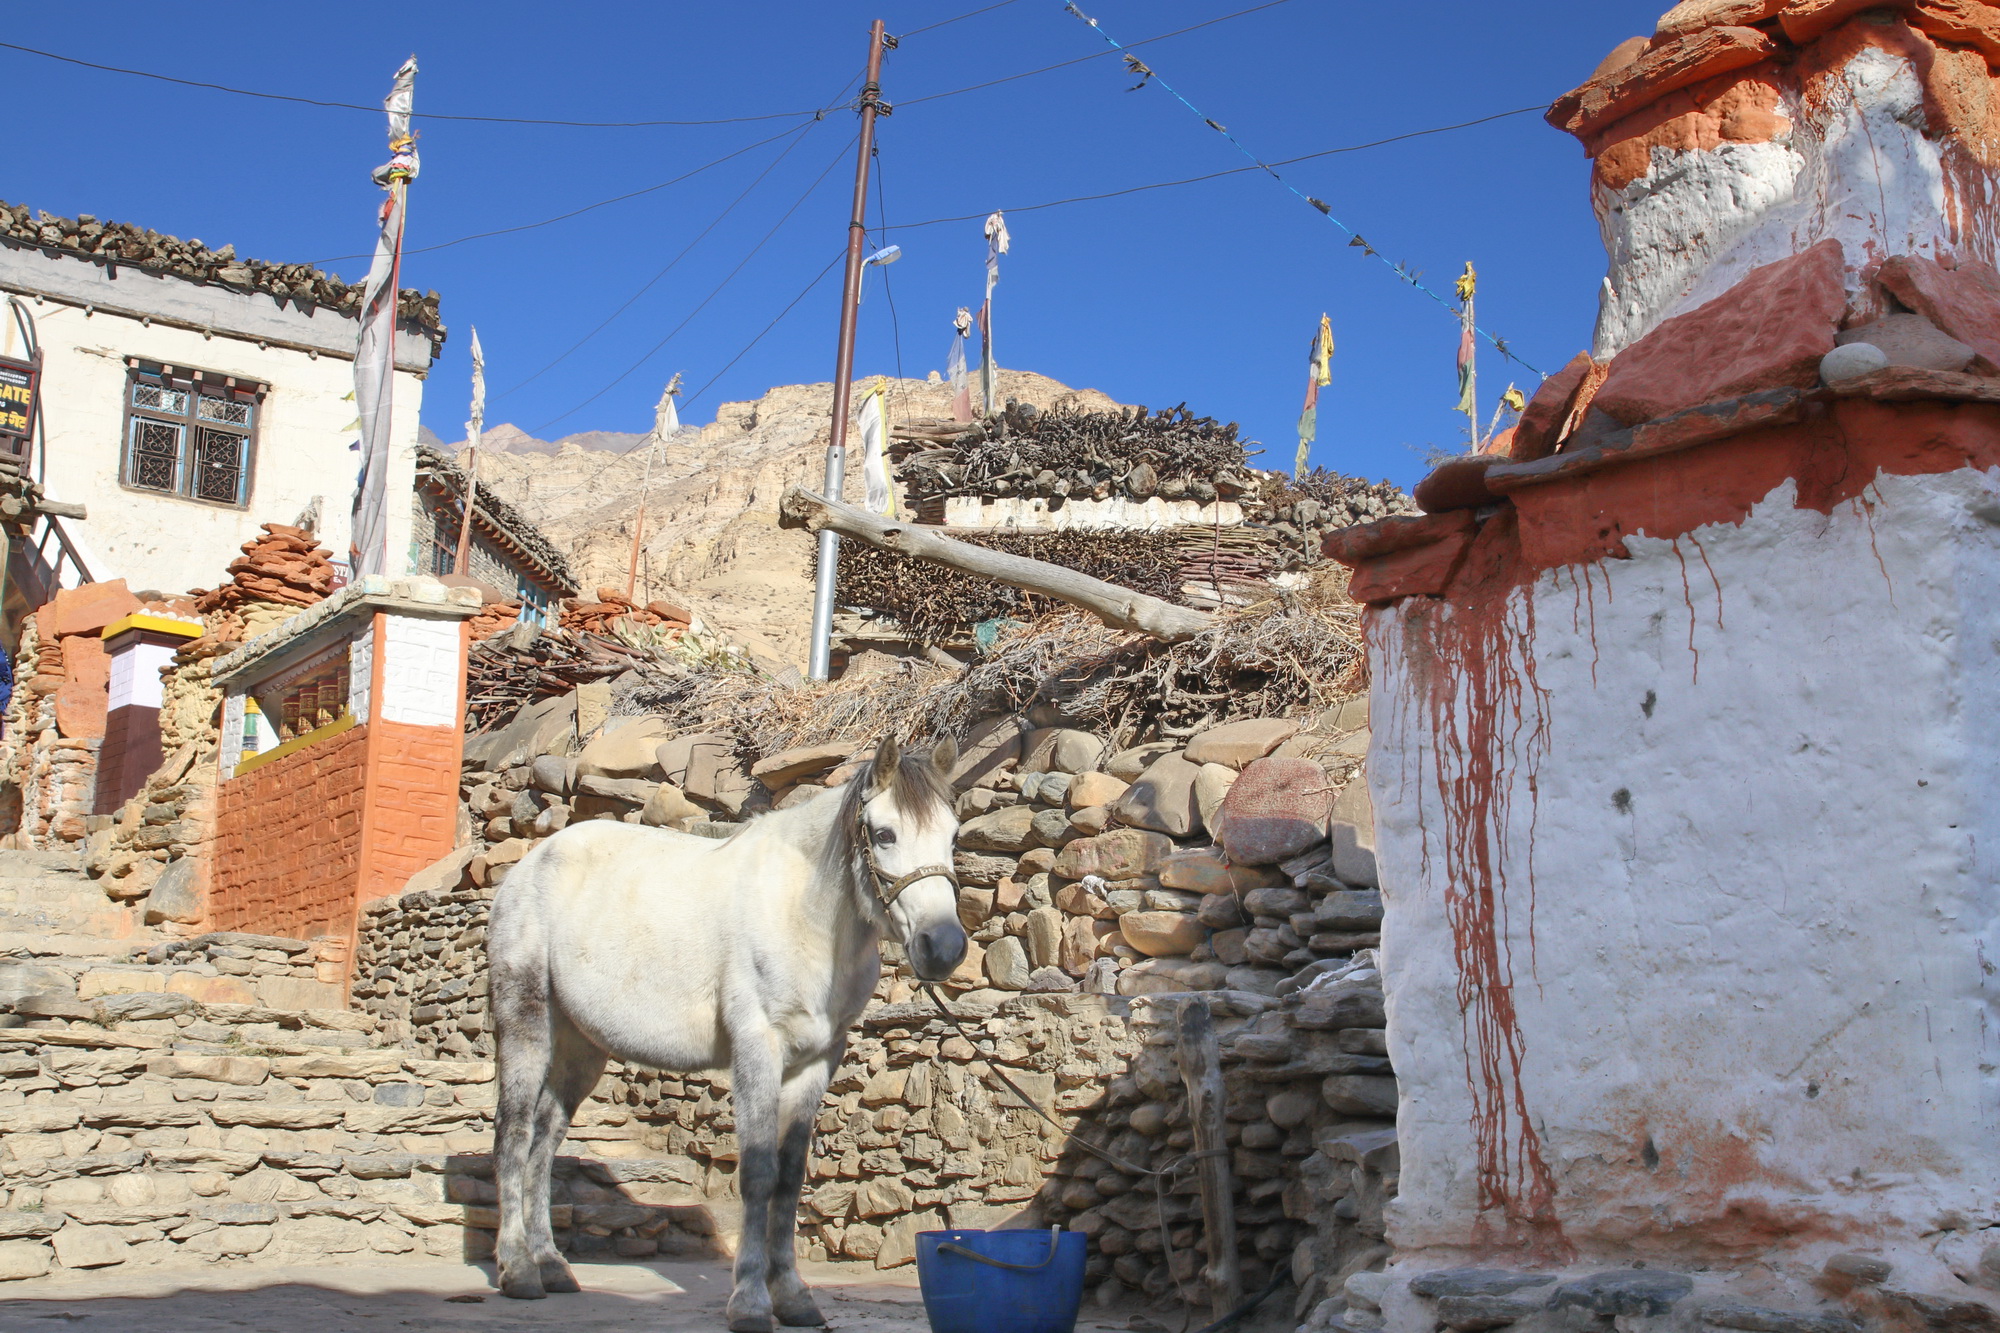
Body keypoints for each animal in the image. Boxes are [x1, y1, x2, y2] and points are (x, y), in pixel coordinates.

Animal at [480, 732, 956, 1320]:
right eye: (884, 834)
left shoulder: (817, 1059)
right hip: (524, 1019)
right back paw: (519, 1268)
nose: (944, 947)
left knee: (545, 1141)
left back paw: (550, 1264)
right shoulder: (757, 1048)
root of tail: (527, 868)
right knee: (514, 1133)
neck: (803, 914)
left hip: (581, 1046)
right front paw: (750, 1301)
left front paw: (793, 1297)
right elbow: (757, 1172)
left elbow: (790, 1177)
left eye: (953, 835)